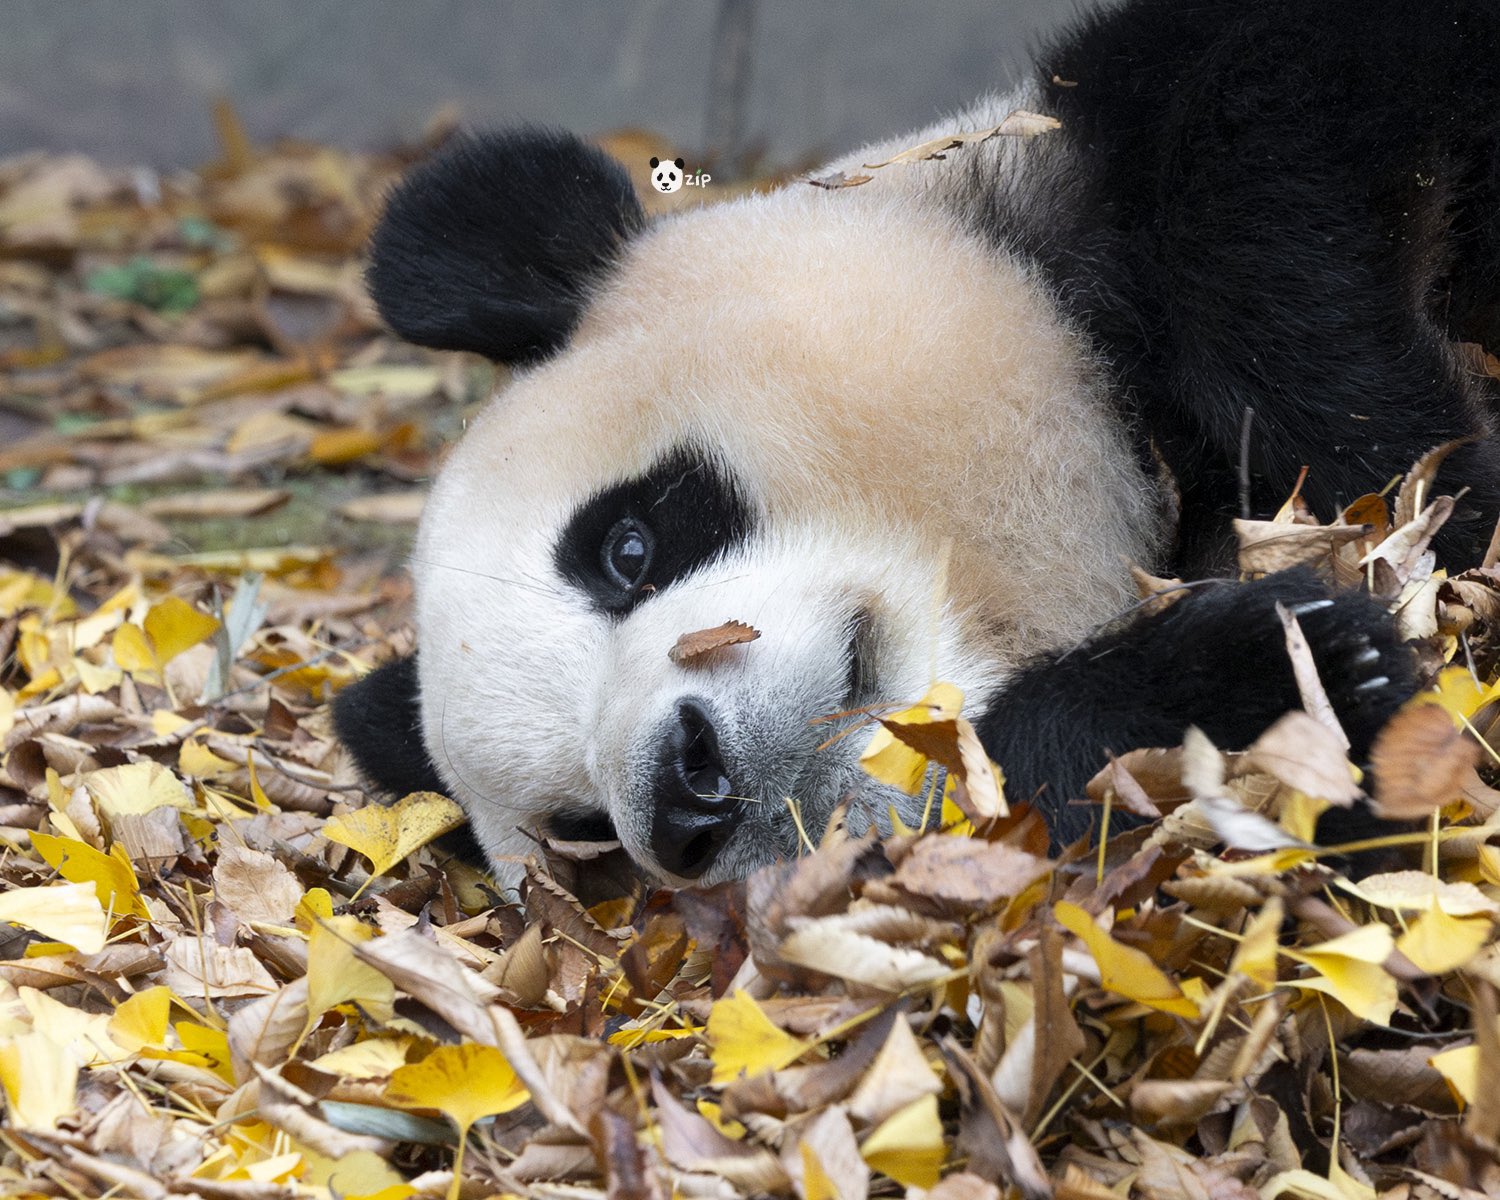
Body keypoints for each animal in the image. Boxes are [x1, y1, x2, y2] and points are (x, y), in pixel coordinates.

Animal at [337, 0, 1500, 888]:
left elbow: (1274, 139)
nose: (685, 794)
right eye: (582, 834)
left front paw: (1413, 475)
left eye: (626, 547)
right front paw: (1263, 678)